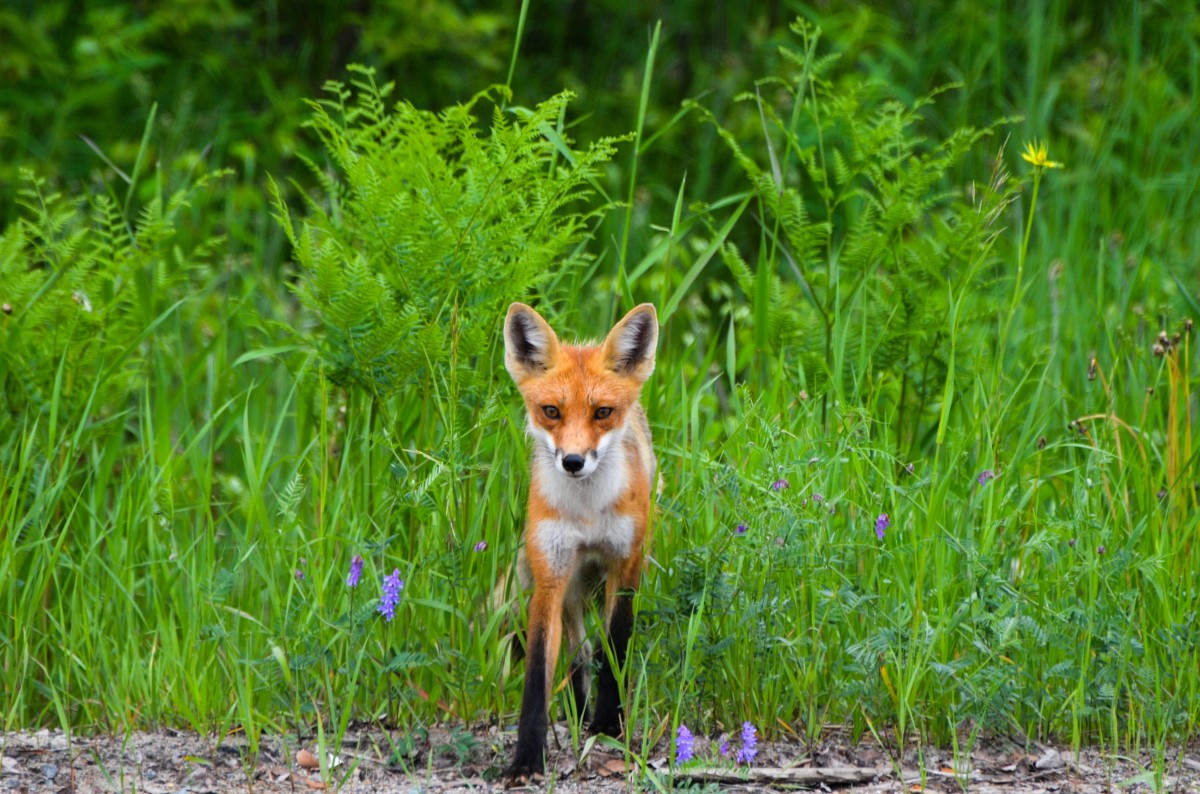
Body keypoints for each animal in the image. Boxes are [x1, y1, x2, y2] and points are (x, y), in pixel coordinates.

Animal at [501, 302, 662, 786]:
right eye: (551, 411)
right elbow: (539, 672)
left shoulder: (625, 565)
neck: (588, 513)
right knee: (576, 652)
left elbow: (615, 648)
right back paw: (576, 710)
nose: (573, 461)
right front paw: (526, 760)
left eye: (603, 412)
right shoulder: (550, 575)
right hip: (568, 584)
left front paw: (609, 725)